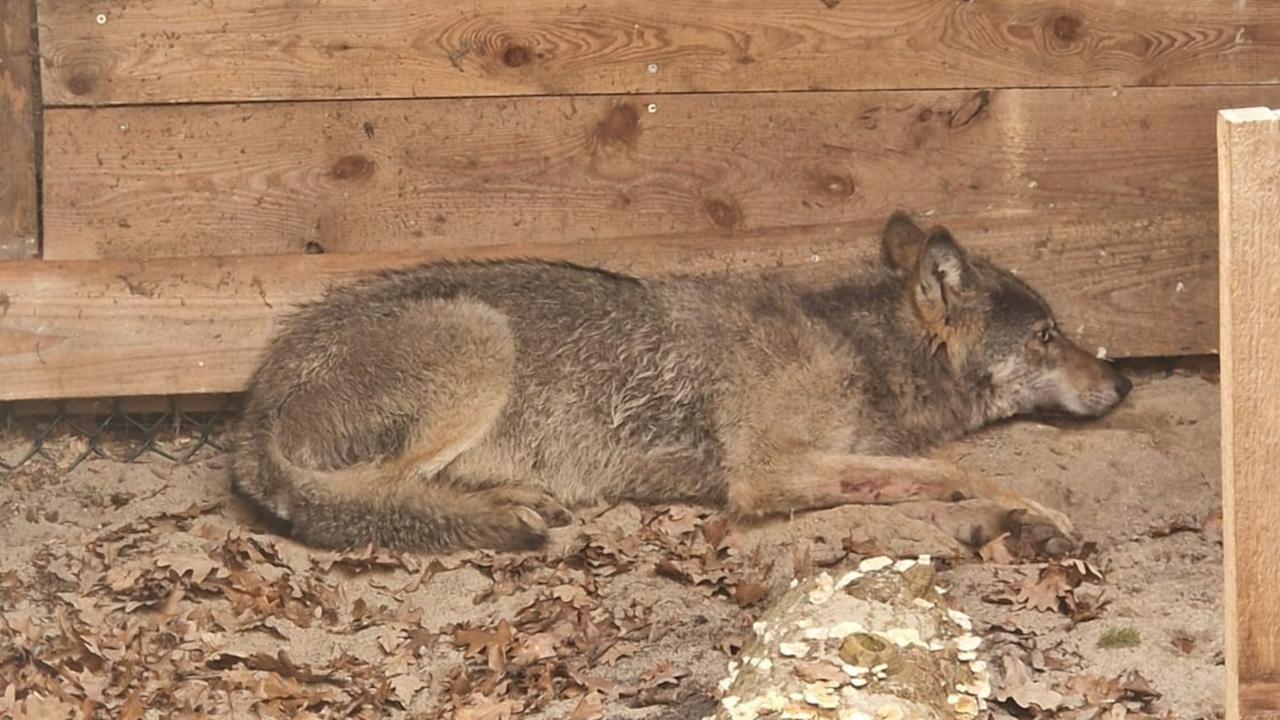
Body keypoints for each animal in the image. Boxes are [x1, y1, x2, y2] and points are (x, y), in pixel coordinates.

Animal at [229, 211, 1131, 554]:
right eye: (1049, 336)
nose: (1124, 383)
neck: (858, 347)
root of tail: (253, 407)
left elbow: (924, 473)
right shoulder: (765, 472)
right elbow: (956, 469)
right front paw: (1035, 514)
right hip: (481, 338)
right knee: (373, 497)